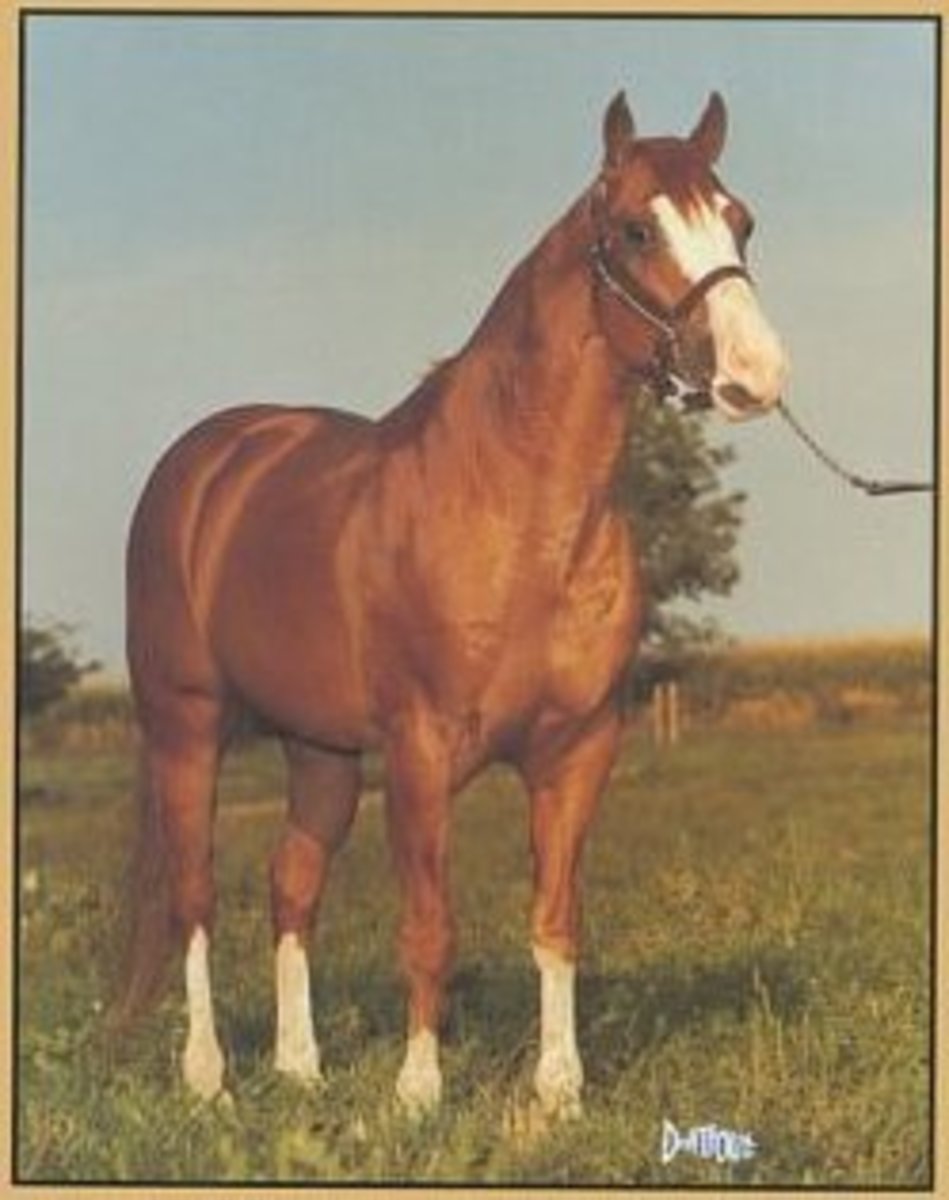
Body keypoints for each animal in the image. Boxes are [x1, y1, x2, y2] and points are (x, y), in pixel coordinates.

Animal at [112, 91, 788, 1120]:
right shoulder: (422, 752)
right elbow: (429, 925)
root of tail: (208, 462)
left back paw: (300, 1069)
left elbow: (555, 919)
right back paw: (209, 1080)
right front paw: (418, 1092)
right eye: (636, 229)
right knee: (195, 896)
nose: (757, 374)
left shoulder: (578, 748)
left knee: (290, 880)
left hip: (320, 751)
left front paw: (559, 1096)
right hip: (187, 726)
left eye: (739, 221)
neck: (518, 515)